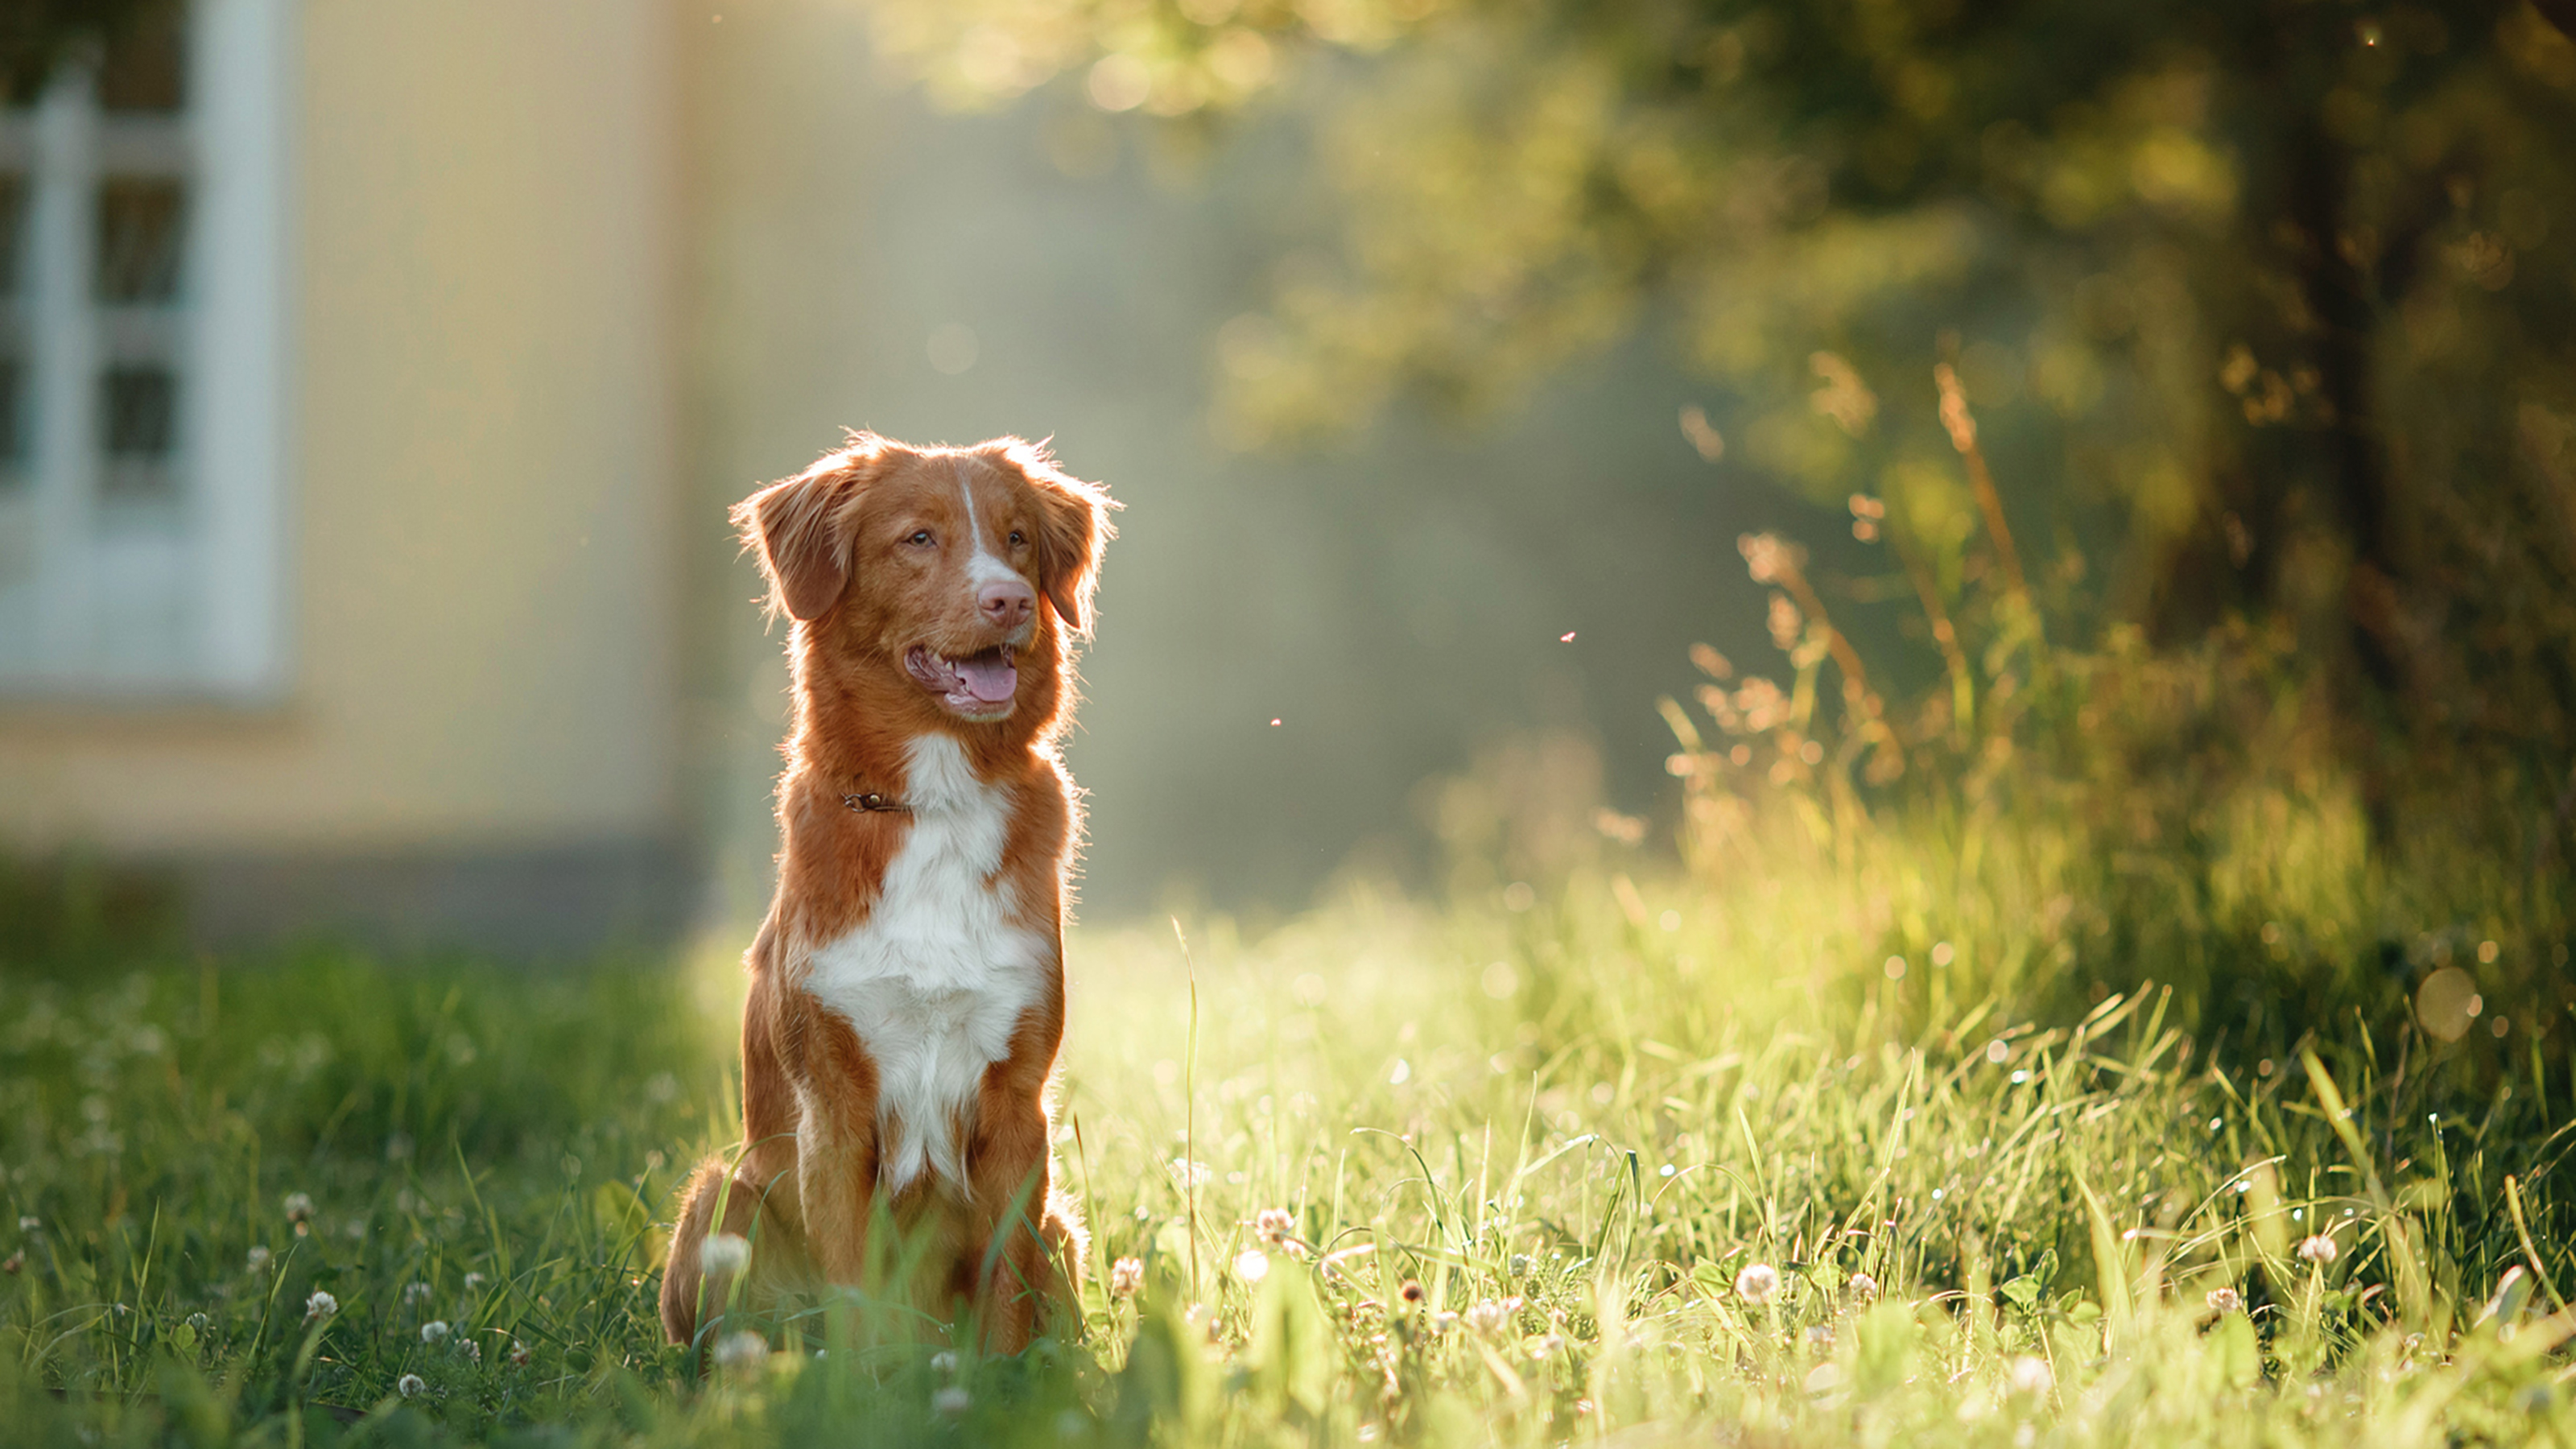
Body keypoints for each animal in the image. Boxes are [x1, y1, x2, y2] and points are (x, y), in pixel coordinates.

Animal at [664, 427, 1108, 1351]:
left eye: (1017, 538)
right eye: (919, 538)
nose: (1011, 601)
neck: (932, 801)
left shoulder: (1018, 1107)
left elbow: (1005, 1292)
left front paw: (1001, 1379)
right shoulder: (831, 1112)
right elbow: (859, 1301)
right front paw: (869, 1380)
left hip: (1064, 1227)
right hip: (723, 1192)